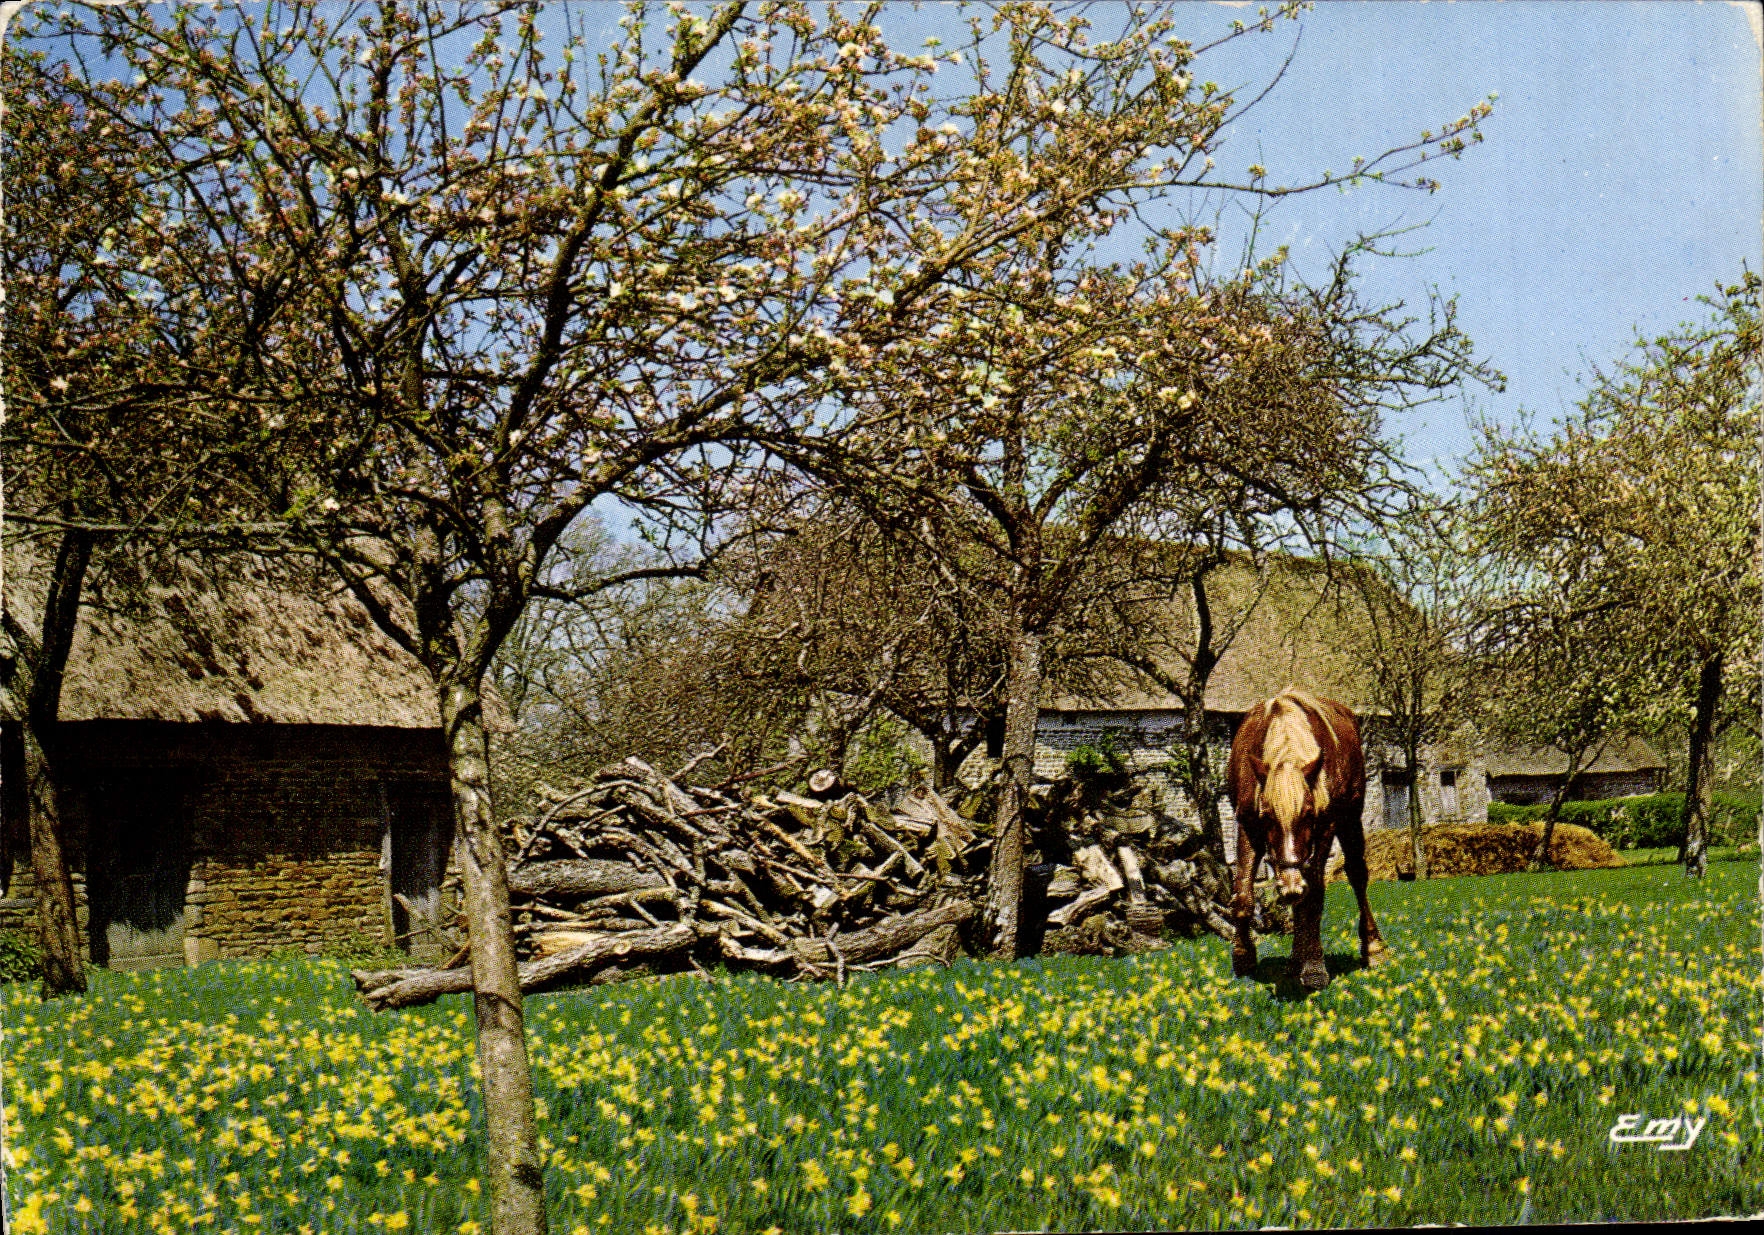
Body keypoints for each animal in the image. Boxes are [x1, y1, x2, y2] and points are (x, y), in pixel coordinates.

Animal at [1224, 688, 1390, 989]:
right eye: (1267, 815)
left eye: (1309, 813)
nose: (1290, 886)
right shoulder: (1248, 824)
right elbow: (1242, 894)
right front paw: (1243, 957)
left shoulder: (1326, 826)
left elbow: (1313, 896)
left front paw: (1313, 967)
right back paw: (1294, 962)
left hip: (1351, 819)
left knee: (1357, 876)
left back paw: (1373, 948)